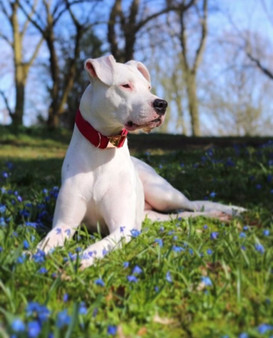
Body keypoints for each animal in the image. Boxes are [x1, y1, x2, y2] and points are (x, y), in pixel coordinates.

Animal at [36, 54, 244, 268]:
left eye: (148, 87)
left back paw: (226, 210)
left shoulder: (121, 228)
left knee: (193, 204)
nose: (162, 104)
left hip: (163, 194)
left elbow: (97, 246)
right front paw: (31, 258)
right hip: (151, 216)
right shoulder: (63, 225)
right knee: (180, 215)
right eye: (126, 85)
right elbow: (42, 246)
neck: (101, 152)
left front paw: (81, 260)